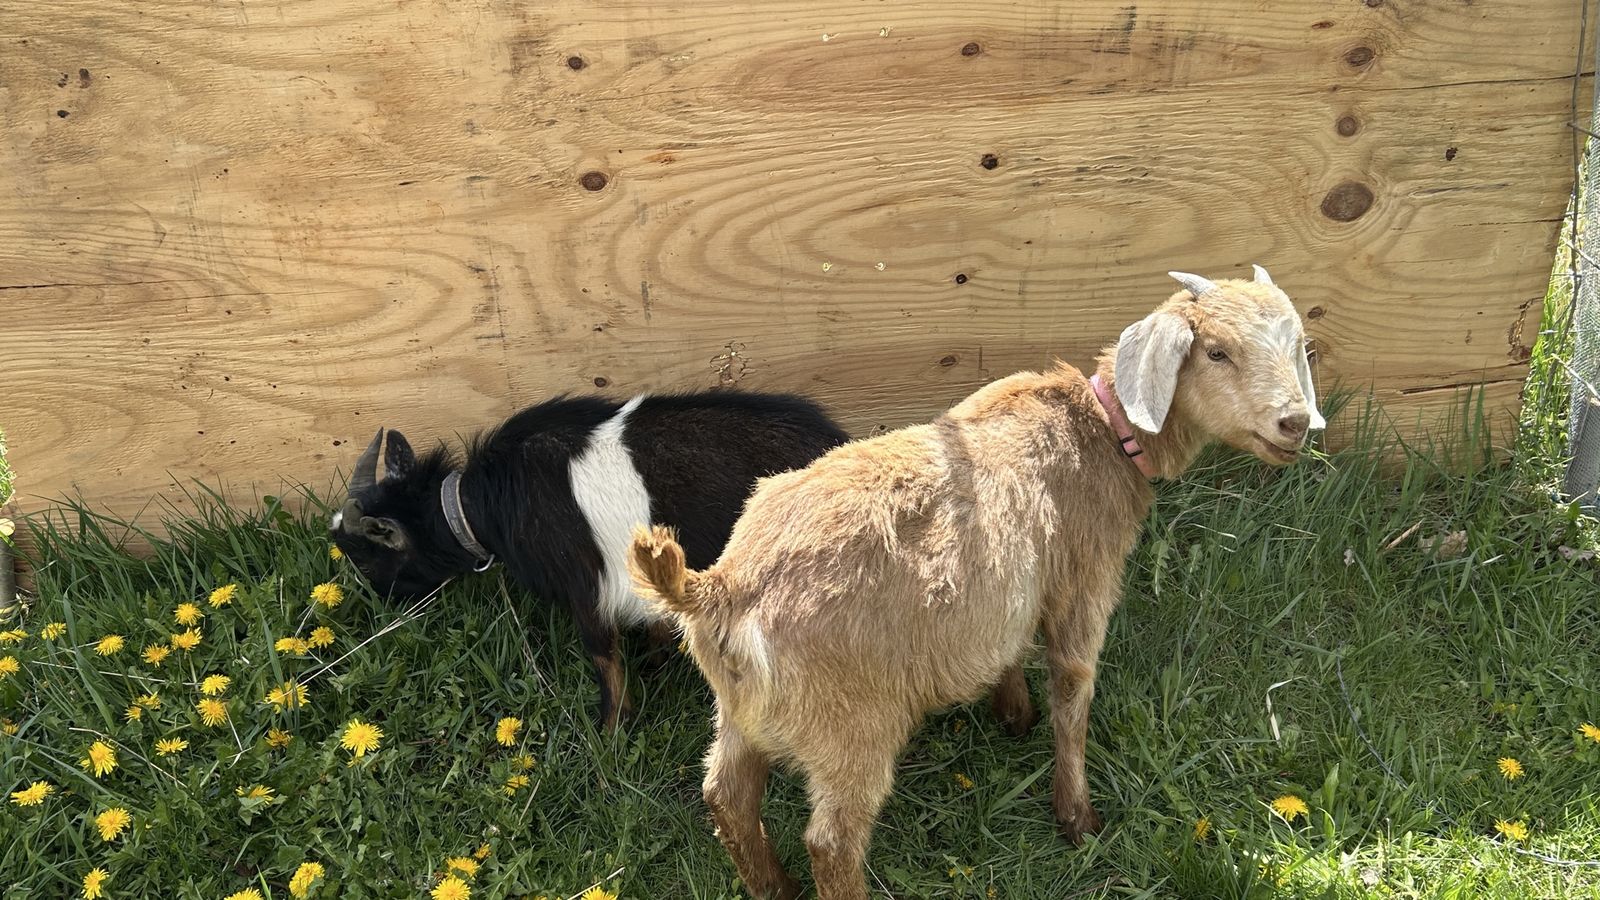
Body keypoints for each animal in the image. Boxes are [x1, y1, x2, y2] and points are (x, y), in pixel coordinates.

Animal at [331, 390, 849, 730]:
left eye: (366, 558)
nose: (384, 605)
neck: (485, 505)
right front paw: (657, 663)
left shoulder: (586, 584)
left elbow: (603, 656)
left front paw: (610, 731)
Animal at [629, 267, 1323, 899]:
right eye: (1216, 351)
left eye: (1295, 343)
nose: (1294, 423)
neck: (1100, 431)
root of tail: (719, 587)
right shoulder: (1084, 581)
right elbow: (1074, 692)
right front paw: (1078, 819)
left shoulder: (1010, 594)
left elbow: (1009, 645)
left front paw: (1013, 711)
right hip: (850, 724)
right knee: (831, 841)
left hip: (741, 710)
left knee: (726, 796)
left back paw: (776, 887)